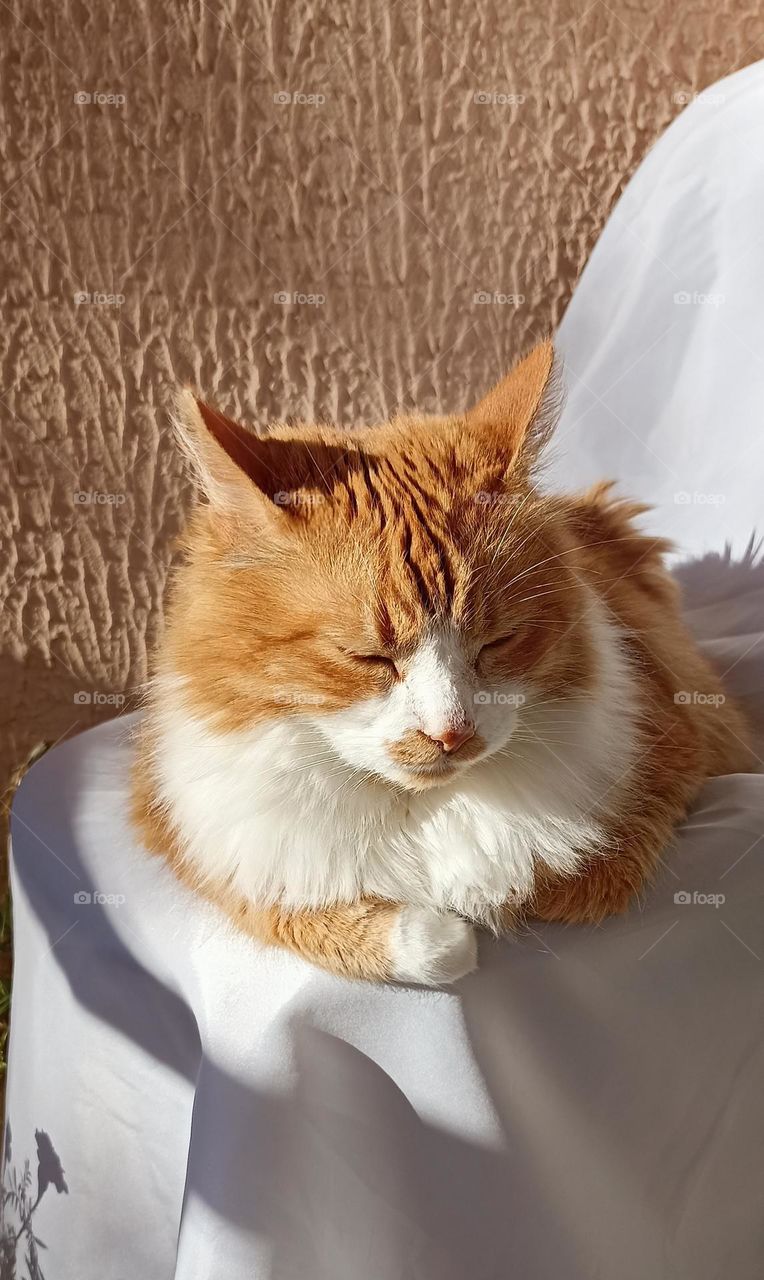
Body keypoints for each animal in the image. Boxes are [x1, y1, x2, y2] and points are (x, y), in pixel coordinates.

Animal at [134, 340, 752, 977]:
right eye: (368, 658)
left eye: (497, 641)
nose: (451, 733)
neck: (422, 808)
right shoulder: (208, 854)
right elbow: (410, 943)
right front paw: (442, 933)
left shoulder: (676, 751)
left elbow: (567, 880)